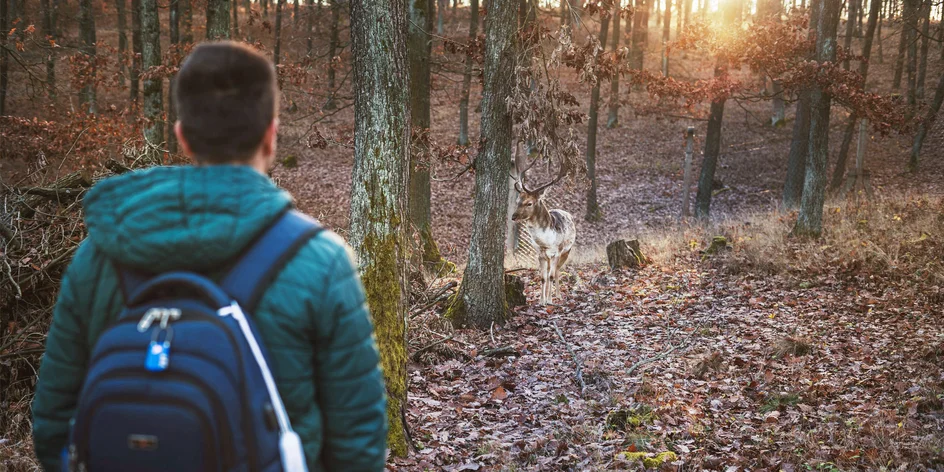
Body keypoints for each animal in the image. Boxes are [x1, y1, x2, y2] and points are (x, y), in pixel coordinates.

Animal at [512, 161, 580, 306]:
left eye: (529, 203)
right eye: (517, 202)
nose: (513, 216)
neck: (546, 241)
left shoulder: (557, 252)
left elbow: (551, 276)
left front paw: (549, 300)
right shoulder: (540, 254)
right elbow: (543, 277)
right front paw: (541, 301)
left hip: (567, 251)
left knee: (557, 271)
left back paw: (558, 296)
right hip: (550, 257)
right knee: (551, 272)